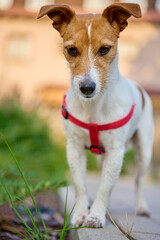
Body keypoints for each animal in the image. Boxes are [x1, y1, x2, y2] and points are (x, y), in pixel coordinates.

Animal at [37, 2, 154, 228]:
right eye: (72, 50)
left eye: (104, 49)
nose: (87, 88)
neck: (93, 107)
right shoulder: (74, 149)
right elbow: (81, 185)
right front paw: (82, 214)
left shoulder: (116, 151)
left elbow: (105, 188)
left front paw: (96, 216)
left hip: (144, 151)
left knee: (138, 180)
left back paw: (142, 207)